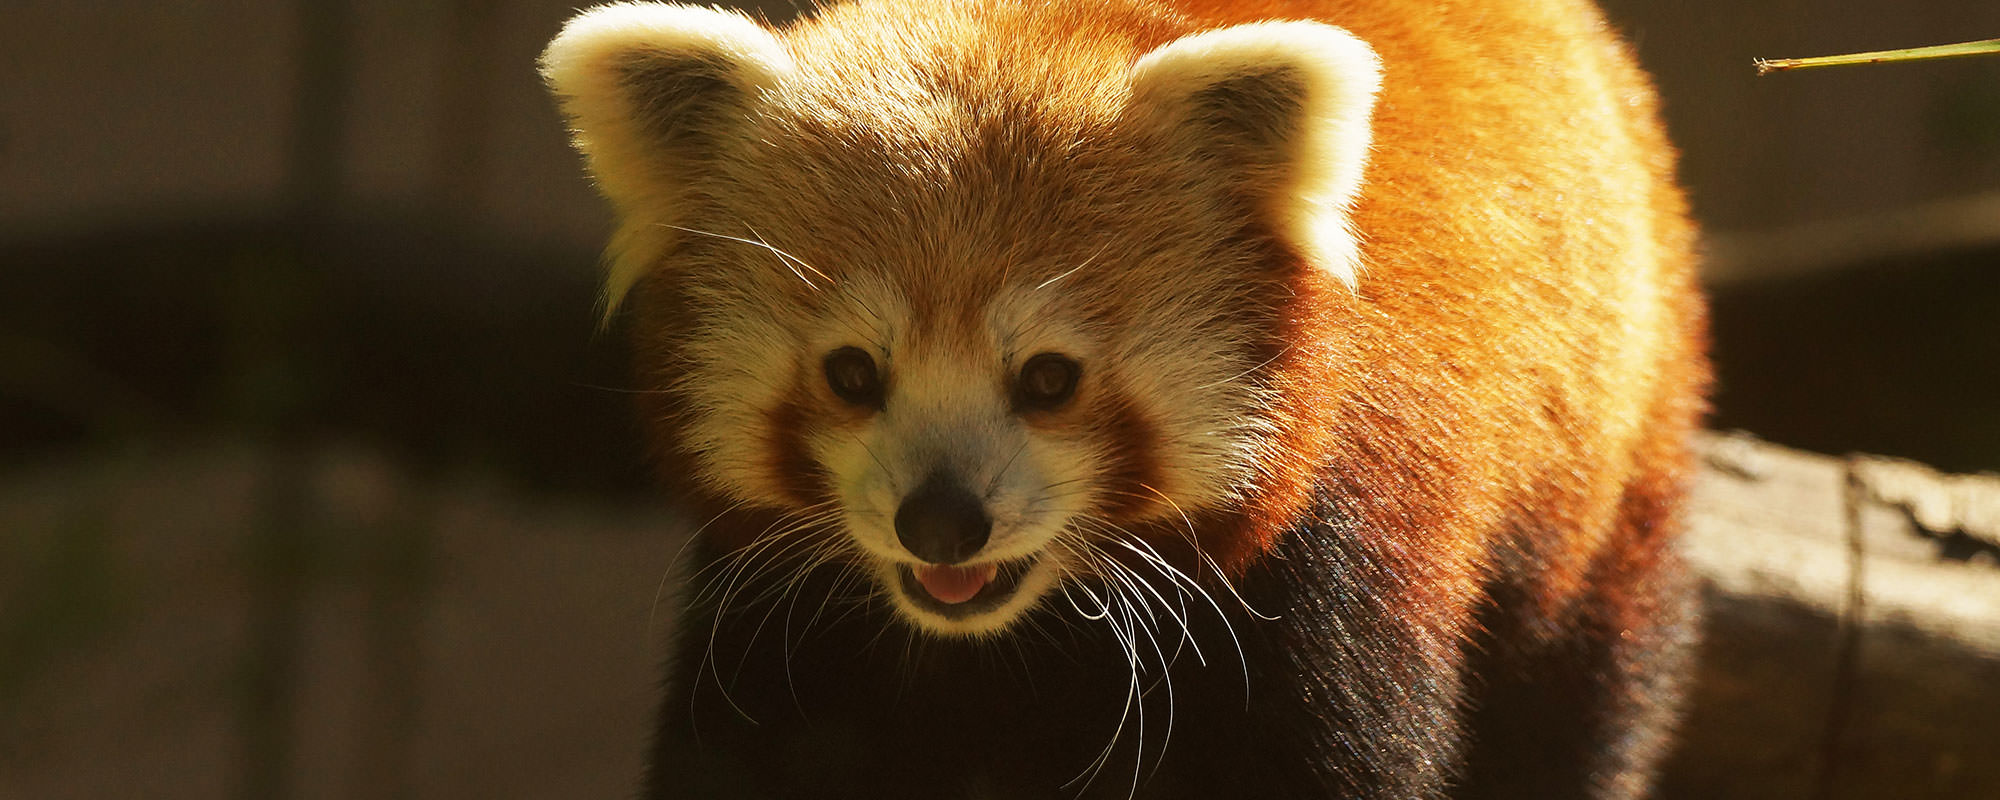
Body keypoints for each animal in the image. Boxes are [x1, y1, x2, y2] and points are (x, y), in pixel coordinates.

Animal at [544, 1, 1704, 792]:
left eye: (1048, 377)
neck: (1013, 640)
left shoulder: (1330, 570)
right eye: (852, 372)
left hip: (1603, 467)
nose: (941, 522)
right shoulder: (782, 613)